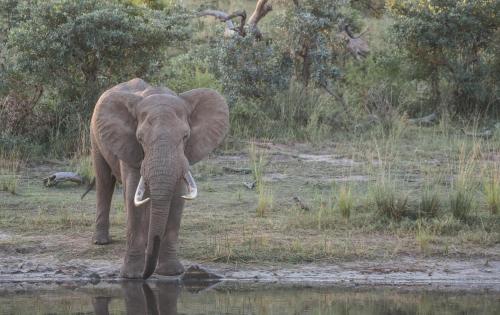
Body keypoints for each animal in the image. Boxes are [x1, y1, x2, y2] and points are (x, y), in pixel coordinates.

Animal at [90, 78, 229, 278]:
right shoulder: (130, 146)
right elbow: (132, 196)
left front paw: (171, 272)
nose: (145, 275)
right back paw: (100, 241)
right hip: (95, 136)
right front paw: (131, 275)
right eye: (140, 138)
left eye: (185, 136)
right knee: (104, 182)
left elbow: (177, 197)